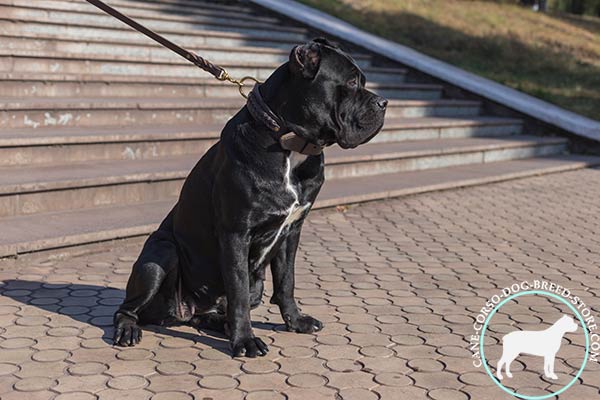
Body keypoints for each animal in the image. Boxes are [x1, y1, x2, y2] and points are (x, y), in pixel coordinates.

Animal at [114, 38, 386, 356]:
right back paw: (129, 329)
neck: (289, 146)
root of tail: (180, 311)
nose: (384, 102)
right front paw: (245, 340)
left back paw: (220, 324)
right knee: (128, 308)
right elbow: (239, 291)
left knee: (209, 313)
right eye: (352, 82)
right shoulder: (236, 234)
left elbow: (286, 281)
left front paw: (296, 321)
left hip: (253, 284)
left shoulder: (292, 232)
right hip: (159, 257)